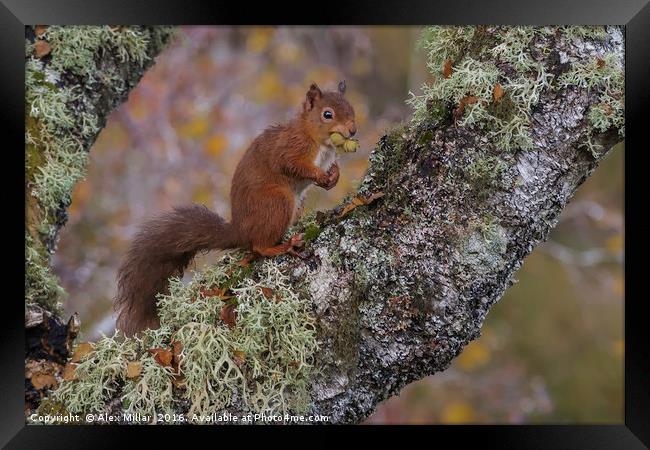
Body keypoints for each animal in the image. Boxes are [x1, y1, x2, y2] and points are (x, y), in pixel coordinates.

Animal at [111, 81, 354, 336]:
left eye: (351, 109)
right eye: (327, 114)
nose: (352, 130)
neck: (317, 140)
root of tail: (240, 231)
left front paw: (334, 175)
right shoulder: (290, 148)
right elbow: (292, 164)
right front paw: (319, 175)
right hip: (277, 201)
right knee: (258, 247)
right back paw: (282, 246)